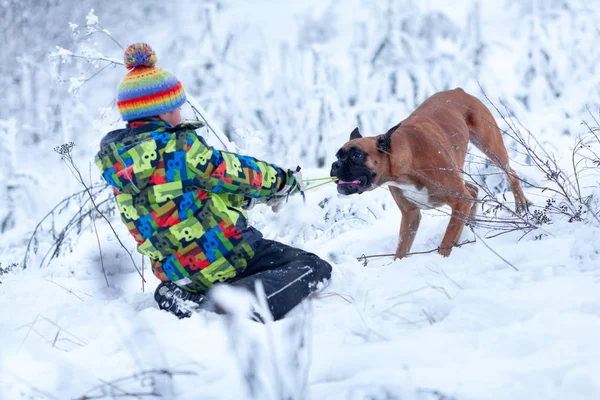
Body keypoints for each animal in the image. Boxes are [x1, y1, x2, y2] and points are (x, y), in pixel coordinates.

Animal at [330, 88, 532, 260]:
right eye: (338, 155)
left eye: (356, 155)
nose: (335, 165)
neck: (408, 162)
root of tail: (459, 90)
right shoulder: (410, 216)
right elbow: (401, 250)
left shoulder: (459, 200)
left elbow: (446, 242)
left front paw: (442, 259)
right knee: (473, 190)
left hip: (490, 146)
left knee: (510, 174)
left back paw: (521, 204)